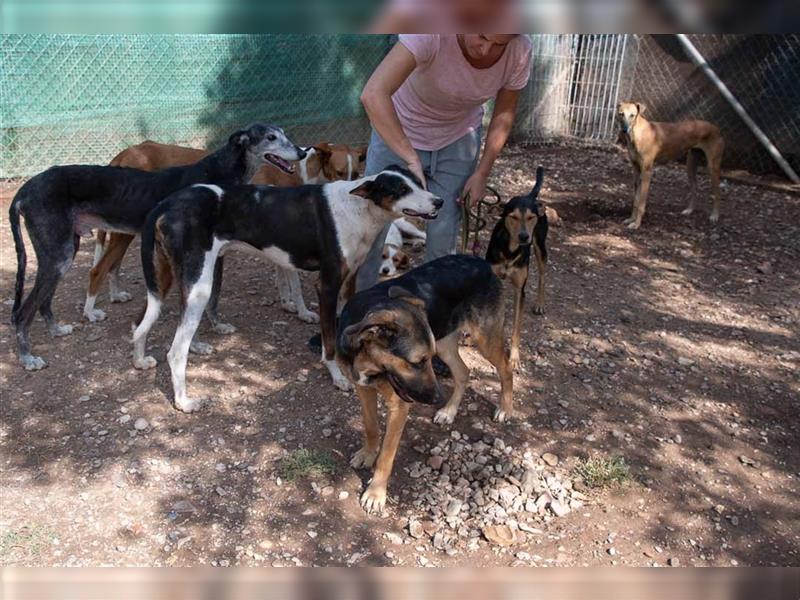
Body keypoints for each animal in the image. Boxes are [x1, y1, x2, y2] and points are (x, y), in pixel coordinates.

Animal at [8, 123, 304, 370]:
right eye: (270, 137)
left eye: (284, 133)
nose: (301, 152)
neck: (219, 171)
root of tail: (25, 189)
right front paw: (197, 345)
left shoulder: (216, 255)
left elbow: (214, 297)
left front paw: (217, 326)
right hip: (60, 255)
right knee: (23, 312)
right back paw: (28, 358)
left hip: (65, 252)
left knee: (44, 300)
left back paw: (56, 330)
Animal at [132, 166, 444, 414]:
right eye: (402, 189)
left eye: (419, 181)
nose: (439, 201)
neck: (359, 208)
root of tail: (165, 204)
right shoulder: (327, 285)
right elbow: (329, 342)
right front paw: (337, 376)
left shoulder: (349, 281)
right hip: (199, 282)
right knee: (175, 351)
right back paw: (184, 402)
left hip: (174, 281)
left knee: (146, 322)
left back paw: (143, 359)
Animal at [336, 255, 512, 512]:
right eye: (417, 362)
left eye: (424, 361)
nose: (438, 398)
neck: (369, 361)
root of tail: (482, 262)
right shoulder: (364, 389)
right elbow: (370, 427)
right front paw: (368, 454)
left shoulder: (399, 407)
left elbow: (386, 456)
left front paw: (376, 493)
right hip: (445, 342)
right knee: (464, 371)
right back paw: (449, 411)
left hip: (483, 340)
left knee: (506, 368)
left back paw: (505, 408)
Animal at [484, 166, 548, 368]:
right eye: (512, 217)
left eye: (530, 217)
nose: (524, 237)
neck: (510, 250)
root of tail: (530, 196)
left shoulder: (520, 290)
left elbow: (516, 329)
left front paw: (514, 357)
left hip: (540, 246)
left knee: (542, 274)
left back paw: (540, 304)